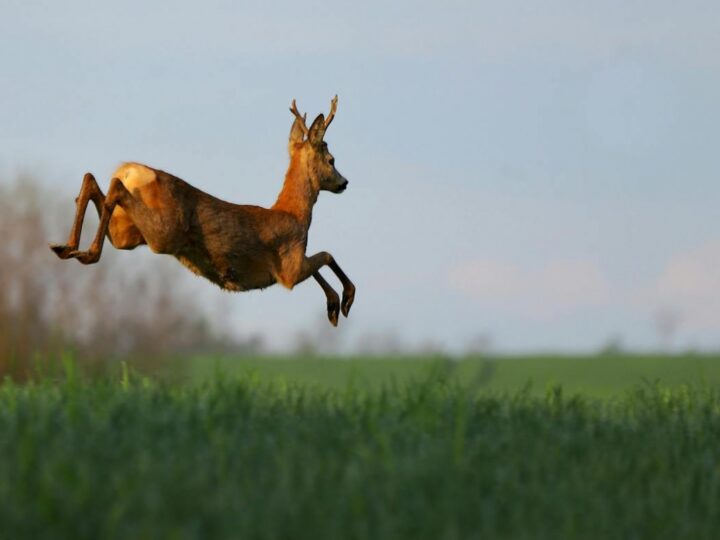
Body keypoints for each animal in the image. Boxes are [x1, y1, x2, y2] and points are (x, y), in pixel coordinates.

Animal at [49, 95, 356, 326]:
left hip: (128, 233)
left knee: (92, 180)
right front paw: (344, 300)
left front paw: (333, 306)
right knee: (113, 187)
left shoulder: (295, 263)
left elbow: (321, 259)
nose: (344, 183)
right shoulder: (289, 268)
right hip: (162, 233)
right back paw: (86, 252)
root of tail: (131, 170)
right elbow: (326, 254)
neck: (294, 213)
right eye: (331, 160)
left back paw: (67, 247)